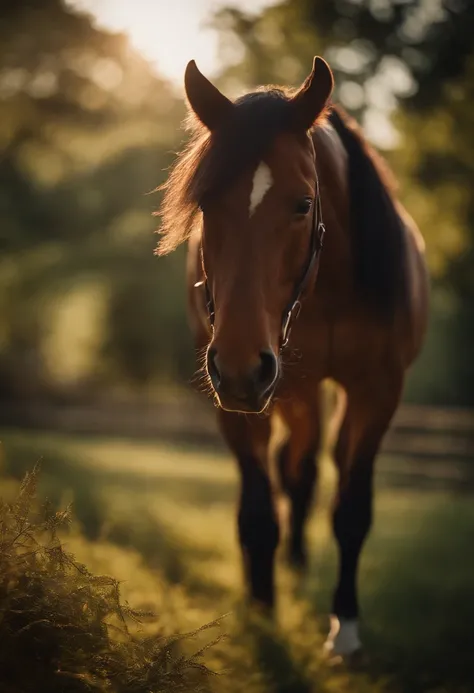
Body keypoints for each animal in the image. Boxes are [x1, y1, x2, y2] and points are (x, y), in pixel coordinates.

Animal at [156, 56, 430, 656]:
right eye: (205, 202)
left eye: (303, 204)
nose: (239, 365)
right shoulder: (239, 400)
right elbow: (259, 510)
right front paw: (262, 612)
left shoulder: (378, 391)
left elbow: (351, 509)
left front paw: (344, 628)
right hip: (289, 390)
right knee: (294, 469)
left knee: (308, 469)